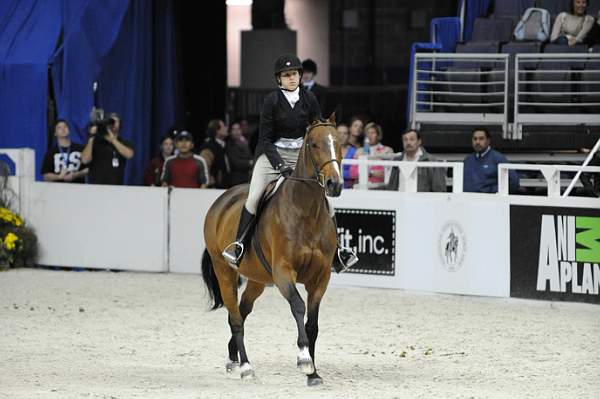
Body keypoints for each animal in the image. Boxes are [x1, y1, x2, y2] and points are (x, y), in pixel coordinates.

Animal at [202, 113, 342, 388]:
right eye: (314, 145)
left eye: (339, 143)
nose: (334, 184)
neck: (306, 211)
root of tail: (220, 200)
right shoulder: (283, 273)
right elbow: (298, 307)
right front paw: (303, 359)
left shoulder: (321, 278)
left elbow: (313, 323)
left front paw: (314, 374)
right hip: (225, 271)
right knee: (235, 318)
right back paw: (246, 367)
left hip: (257, 280)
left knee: (242, 311)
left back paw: (233, 358)